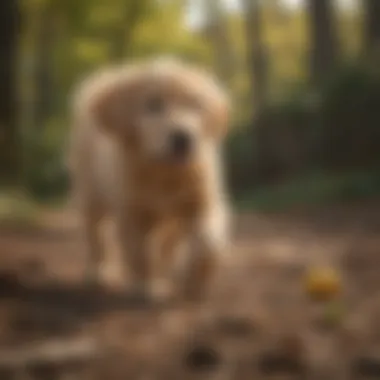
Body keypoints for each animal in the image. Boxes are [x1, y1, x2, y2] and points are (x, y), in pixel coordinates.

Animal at [67, 58, 230, 302]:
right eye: (153, 104)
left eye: (196, 105)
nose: (183, 138)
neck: (164, 173)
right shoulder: (132, 210)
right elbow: (140, 252)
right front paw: (146, 286)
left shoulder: (202, 201)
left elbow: (208, 242)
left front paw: (194, 284)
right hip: (91, 191)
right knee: (95, 234)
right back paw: (98, 272)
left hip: (170, 219)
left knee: (167, 244)